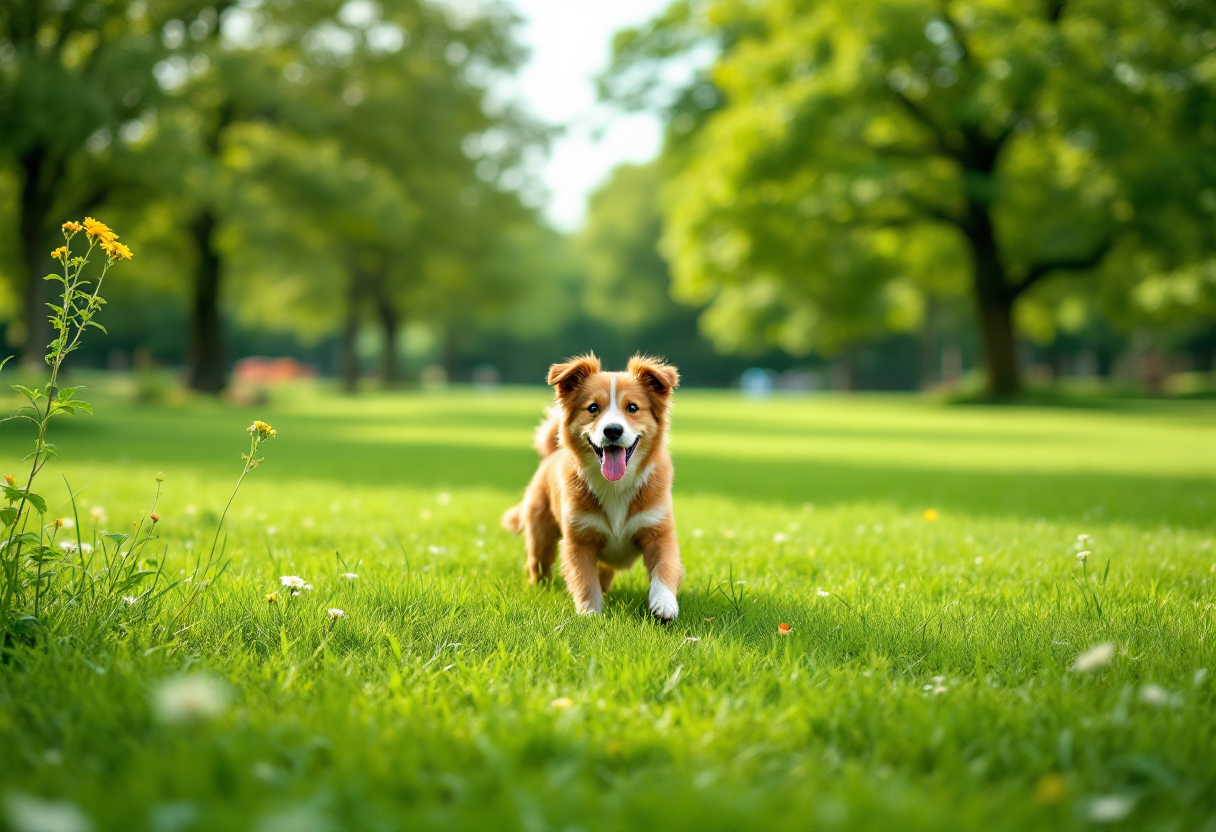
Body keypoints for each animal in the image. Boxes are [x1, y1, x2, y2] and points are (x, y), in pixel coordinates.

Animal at [496, 350, 685, 617]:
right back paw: (539, 587)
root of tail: (550, 455)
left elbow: (665, 568)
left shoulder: (658, 530)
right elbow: (584, 580)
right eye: (593, 407)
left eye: (633, 407)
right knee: (538, 565)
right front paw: (590, 615)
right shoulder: (579, 538)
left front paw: (664, 604)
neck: (615, 486)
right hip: (540, 537)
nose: (613, 430)